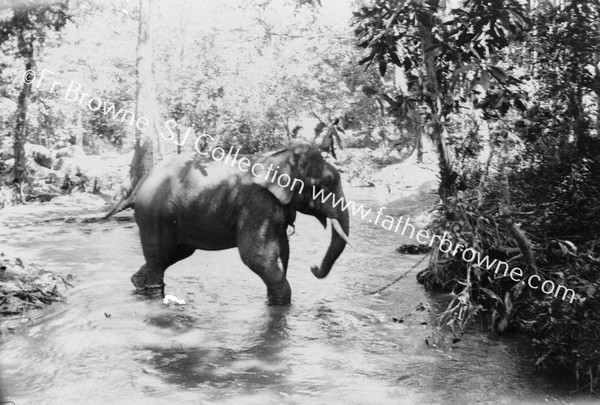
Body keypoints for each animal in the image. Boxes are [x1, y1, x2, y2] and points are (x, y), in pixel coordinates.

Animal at [129, 142, 350, 304]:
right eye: (325, 186)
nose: (313, 267)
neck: (279, 156)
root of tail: (140, 183)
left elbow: (282, 250)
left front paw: (272, 301)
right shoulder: (256, 204)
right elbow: (255, 255)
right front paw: (281, 302)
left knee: (174, 253)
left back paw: (138, 283)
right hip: (152, 215)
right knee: (159, 255)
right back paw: (155, 294)